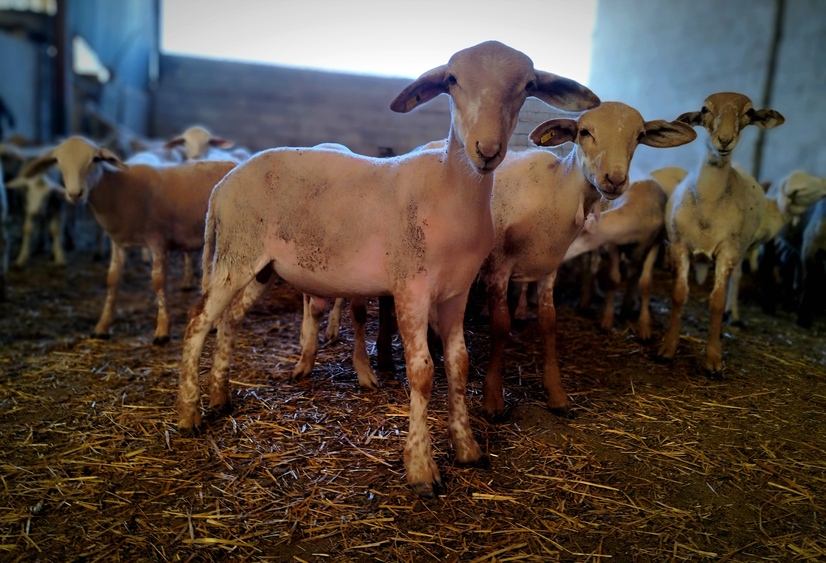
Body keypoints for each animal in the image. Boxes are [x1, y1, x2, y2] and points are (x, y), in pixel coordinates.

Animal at [22, 139, 235, 346]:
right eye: (58, 161)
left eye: (95, 159)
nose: (75, 194)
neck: (119, 189)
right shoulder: (118, 243)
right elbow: (112, 280)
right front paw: (102, 327)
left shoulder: (157, 240)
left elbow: (158, 281)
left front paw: (162, 330)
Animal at [175, 40, 600, 498]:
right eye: (452, 80)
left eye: (527, 87)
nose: (487, 151)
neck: (448, 193)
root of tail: (224, 184)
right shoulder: (411, 288)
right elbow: (423, 372)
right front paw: (421, 468)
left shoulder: (456, 291)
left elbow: (459, 364)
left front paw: (467, 449)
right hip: (236, 252)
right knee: (198, 322)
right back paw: (188, 415)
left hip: (262, 266)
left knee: (230, 319)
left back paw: (220, 397)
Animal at [652, 93, 788, 374]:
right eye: (704, 110)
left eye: (749, 113)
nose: (724, 140)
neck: (709, 204)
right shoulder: (679, 245)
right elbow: (678, 295)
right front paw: (667, 347)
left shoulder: (728, 251)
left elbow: (716, 301)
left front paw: (713, 358)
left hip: (742, 249)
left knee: (735, 281)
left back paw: (731, 316)